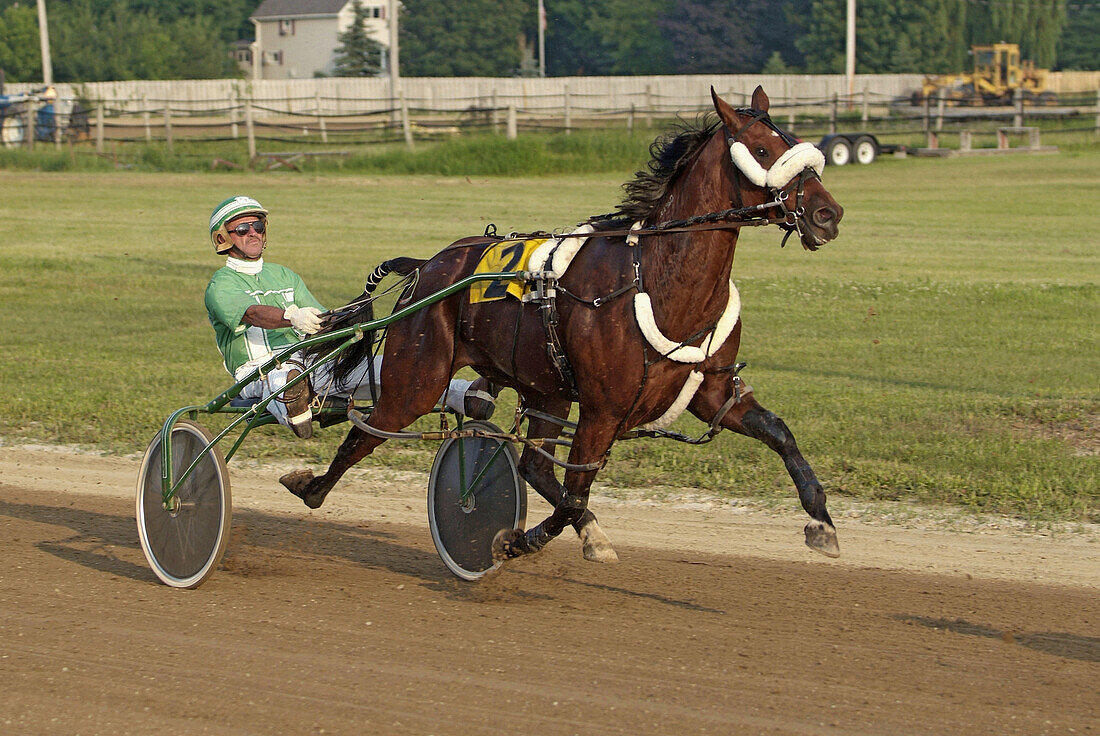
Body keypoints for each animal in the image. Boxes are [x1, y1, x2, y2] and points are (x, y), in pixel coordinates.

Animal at [281, 89, 840, 567]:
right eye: (764, 148)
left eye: (798, 144)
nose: (827, 213)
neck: (659, 279)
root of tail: (428, 266)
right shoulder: (601, 410)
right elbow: (573, 496)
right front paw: (526, 540)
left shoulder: (711, 390)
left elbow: (780, 434)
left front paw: (822, 524)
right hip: (416, 378)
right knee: (365, 432)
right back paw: (310, 487)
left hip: (544, 387)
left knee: (533, 464)